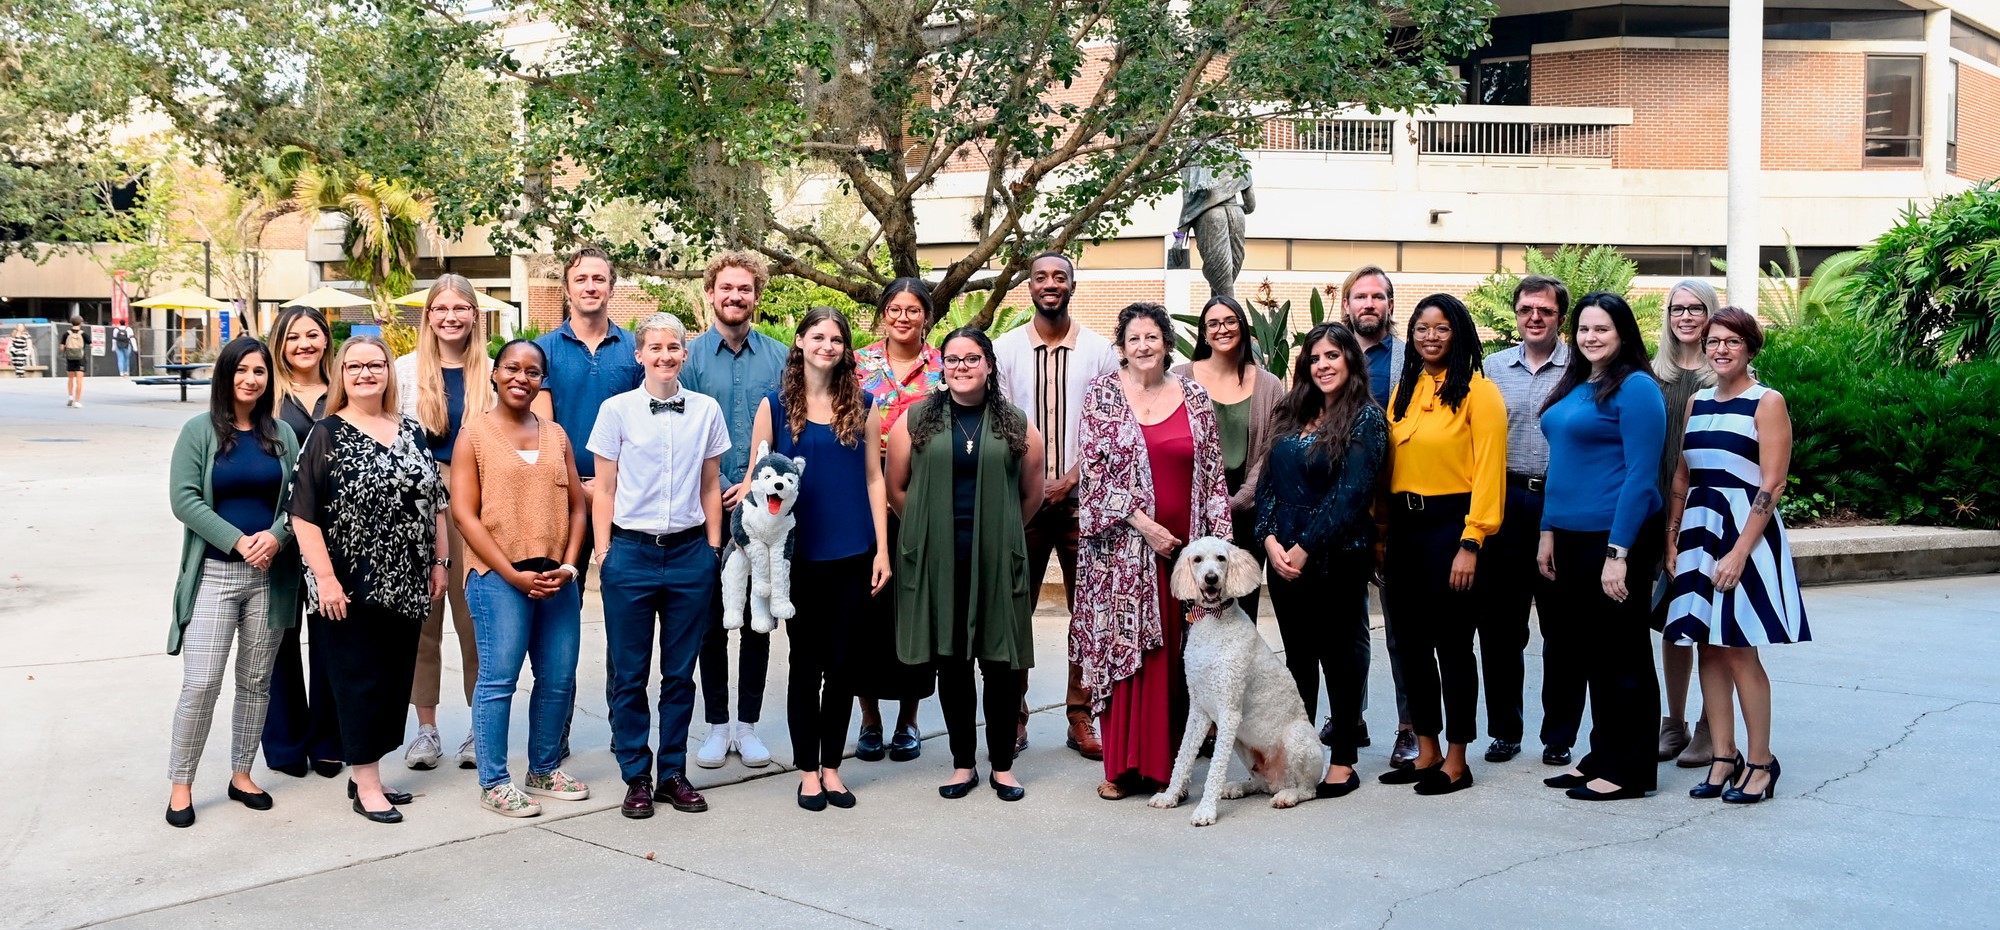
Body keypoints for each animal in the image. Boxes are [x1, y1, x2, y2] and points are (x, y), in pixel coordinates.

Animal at [1152, 532, 1320, 824]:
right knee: (1262, 784)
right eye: (1197, 559)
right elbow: (1183, 756)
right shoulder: (1198, 708)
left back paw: (1288, 796)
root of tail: (1279, 781)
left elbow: (1216, 768)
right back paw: (1238, 787)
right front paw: (1170, 796)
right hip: (1243, 745)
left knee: (1307, 789)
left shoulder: (1228, 711)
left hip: (1297, 736)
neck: (1212, 621)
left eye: (1221, 558)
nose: (1210, 578)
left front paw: (1205, 810)